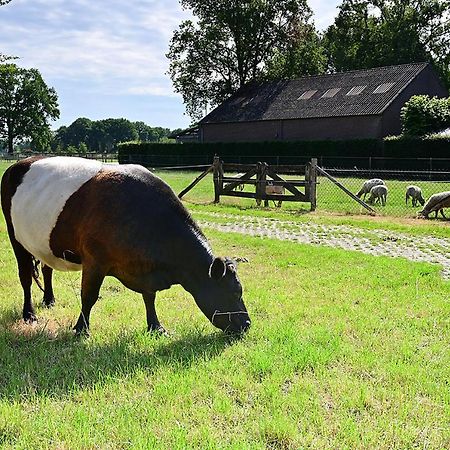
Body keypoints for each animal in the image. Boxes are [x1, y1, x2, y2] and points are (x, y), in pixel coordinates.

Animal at [1, 156, 251, 336]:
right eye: (234, 291)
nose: (247, 323)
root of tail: (21, 162)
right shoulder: (95, 260)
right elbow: (89, 296)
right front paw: (81, 329)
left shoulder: (145, 267)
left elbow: (149, 297)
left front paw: (156, 327)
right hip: (16, 237)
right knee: (25, 276)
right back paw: (29, 313)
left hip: (43, 243)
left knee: (46, 268)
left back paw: (49, 300)